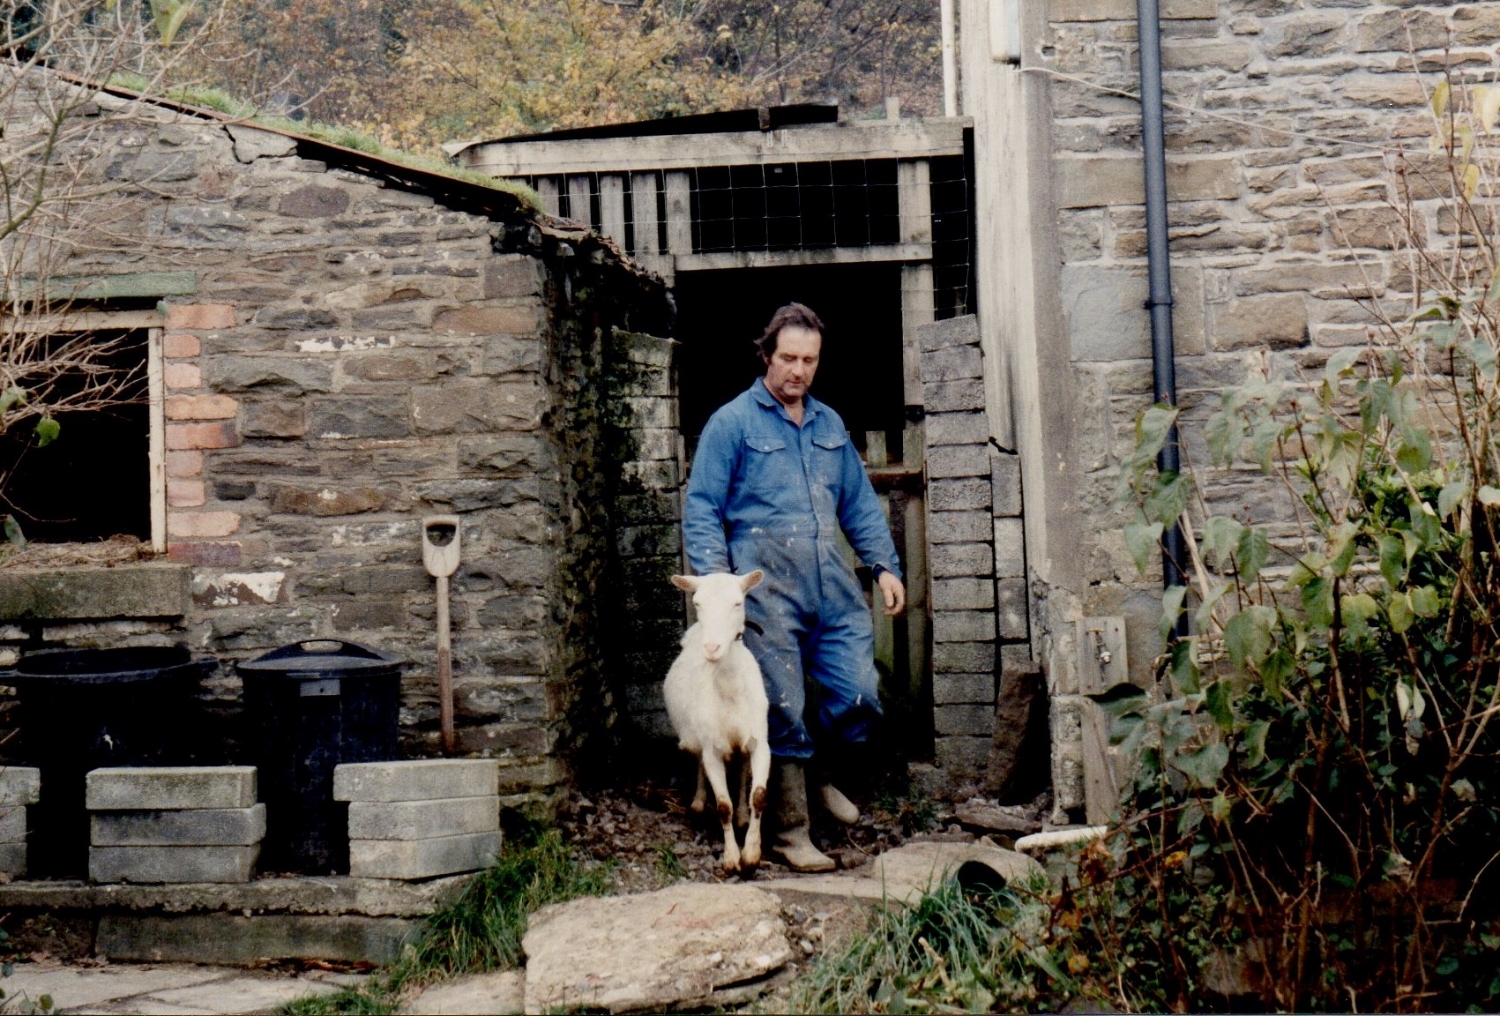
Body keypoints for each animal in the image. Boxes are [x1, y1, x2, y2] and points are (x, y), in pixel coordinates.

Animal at [664, 570, 771, 874]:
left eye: (738, 602)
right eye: (697, 603)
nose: (712, 648)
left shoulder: (760, 741)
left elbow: (759, 795)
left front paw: (752, 853)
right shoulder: (712, 747)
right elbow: (723, 805)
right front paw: (732, 859)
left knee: (743, 766)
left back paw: (743, 815)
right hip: (697, 737)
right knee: (699, 761)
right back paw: (699, 802)